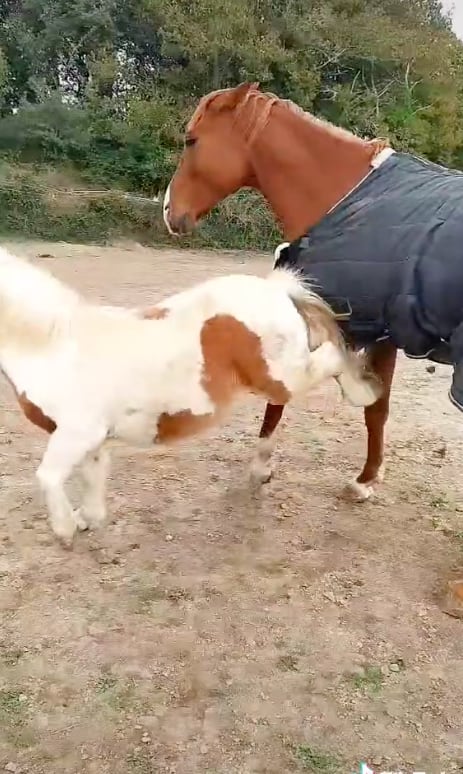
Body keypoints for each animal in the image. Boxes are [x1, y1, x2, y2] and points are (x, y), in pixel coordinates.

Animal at [0, 246, 380, 547]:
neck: (52, 346)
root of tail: (276, 290)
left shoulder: (77, 432)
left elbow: (47, 477)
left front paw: (64, 529)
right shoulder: (93, 438)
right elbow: (92, 477)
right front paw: (86, 520)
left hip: (283, 379)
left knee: (333, 354)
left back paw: (363, 395)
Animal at [162, 81, 463, 502]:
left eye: (192, 140)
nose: (169, 212)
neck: (343, 198)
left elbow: (297, 393)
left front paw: (265, 467)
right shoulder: (380, 329)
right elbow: (376, 407)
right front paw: (367, 477)